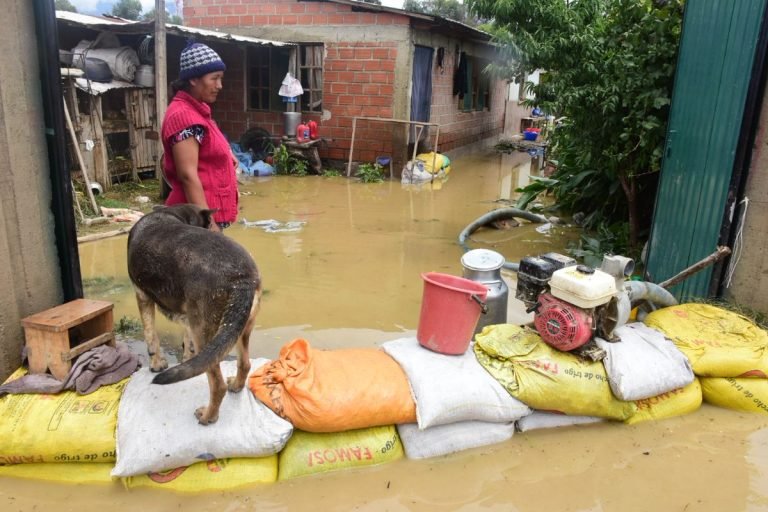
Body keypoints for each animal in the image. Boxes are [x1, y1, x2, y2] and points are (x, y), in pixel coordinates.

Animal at [124, 204, 260, 424]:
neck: (174, 213)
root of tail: (241, 278)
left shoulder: (142, 295)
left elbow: (151, 337)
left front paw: (156, 364)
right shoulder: (188, 316)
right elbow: (187, 344)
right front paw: (187, 358)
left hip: (205, 333)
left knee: (217, 385)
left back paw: (208, 417)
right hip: (237, 329)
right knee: (245, 363)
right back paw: (236, 386)